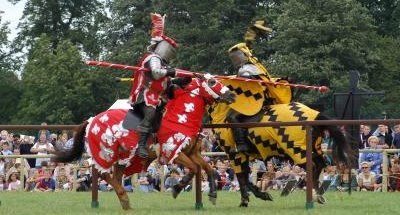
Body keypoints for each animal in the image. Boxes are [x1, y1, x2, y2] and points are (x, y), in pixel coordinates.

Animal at [54, 74, 236, 210]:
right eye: (212, 82)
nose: (232, 95)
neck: (181, 116)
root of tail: (92, 120)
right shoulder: (173, 152)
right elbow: (193, 168)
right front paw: (177, 189)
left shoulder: (191, 152)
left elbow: (208, 169)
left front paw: (212, 195)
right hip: (106, 153)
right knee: (104, 174)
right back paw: (124, 198)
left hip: (123, 157)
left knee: (115, 177)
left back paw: (125, 202)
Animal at [208, 92, 354, 207]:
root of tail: (315, 115)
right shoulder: (243, 156)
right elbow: (245, 177)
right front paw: (254, 196)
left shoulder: (234, 155)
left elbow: (241, 177)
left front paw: (247, 199)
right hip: (312, 148)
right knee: (320, 164)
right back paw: (318, 195)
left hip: (295, 149)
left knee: (312, 166)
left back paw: (313, 194)